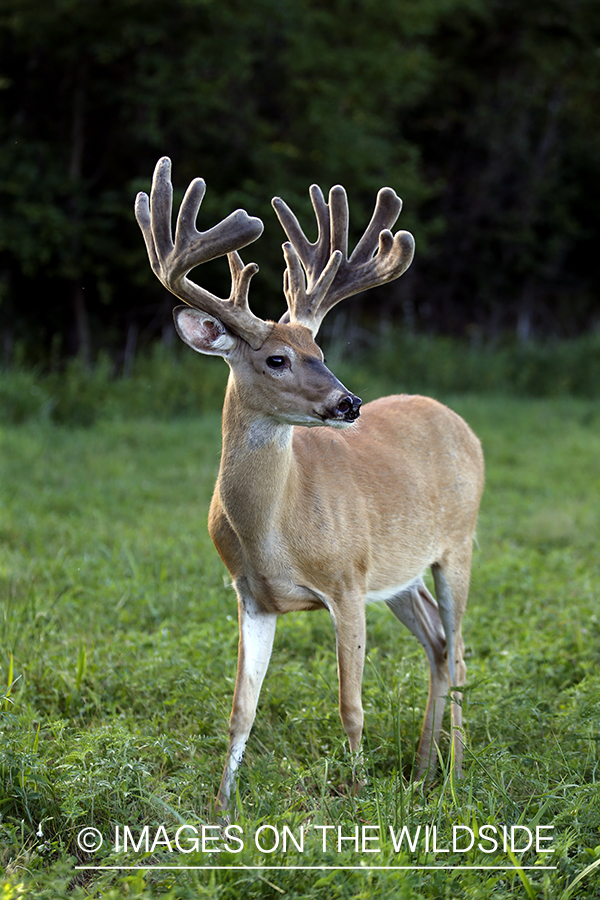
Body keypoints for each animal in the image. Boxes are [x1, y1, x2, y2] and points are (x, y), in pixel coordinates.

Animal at [135, 155, 482, 808]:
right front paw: (220, 808)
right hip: (397, 573)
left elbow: (351, 706)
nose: (349, 402)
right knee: (438, 643)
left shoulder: (346, 581)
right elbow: (240, 711)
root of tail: (459, 421)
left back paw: (455, 775)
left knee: (460, 650)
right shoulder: (251, 595)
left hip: (459, 544)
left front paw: (359, 794)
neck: (274, 530)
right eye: (277, 358)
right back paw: (424, 769)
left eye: (320, 348)